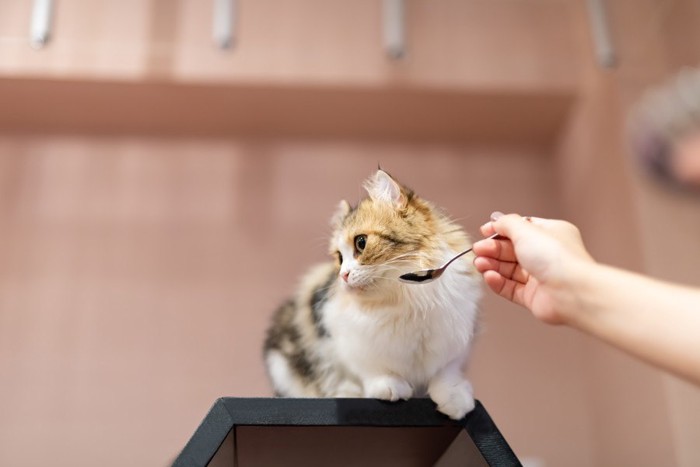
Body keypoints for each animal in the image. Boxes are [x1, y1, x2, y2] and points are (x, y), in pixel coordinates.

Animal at [262, 168, 482, 420]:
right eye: (339, 258)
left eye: (361, 242)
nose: (343, 275)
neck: (409, 301)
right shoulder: (345, 337)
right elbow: (371, 367)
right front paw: (388, 386)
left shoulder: (455, 338)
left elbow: (446, 372)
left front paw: (455, 397)